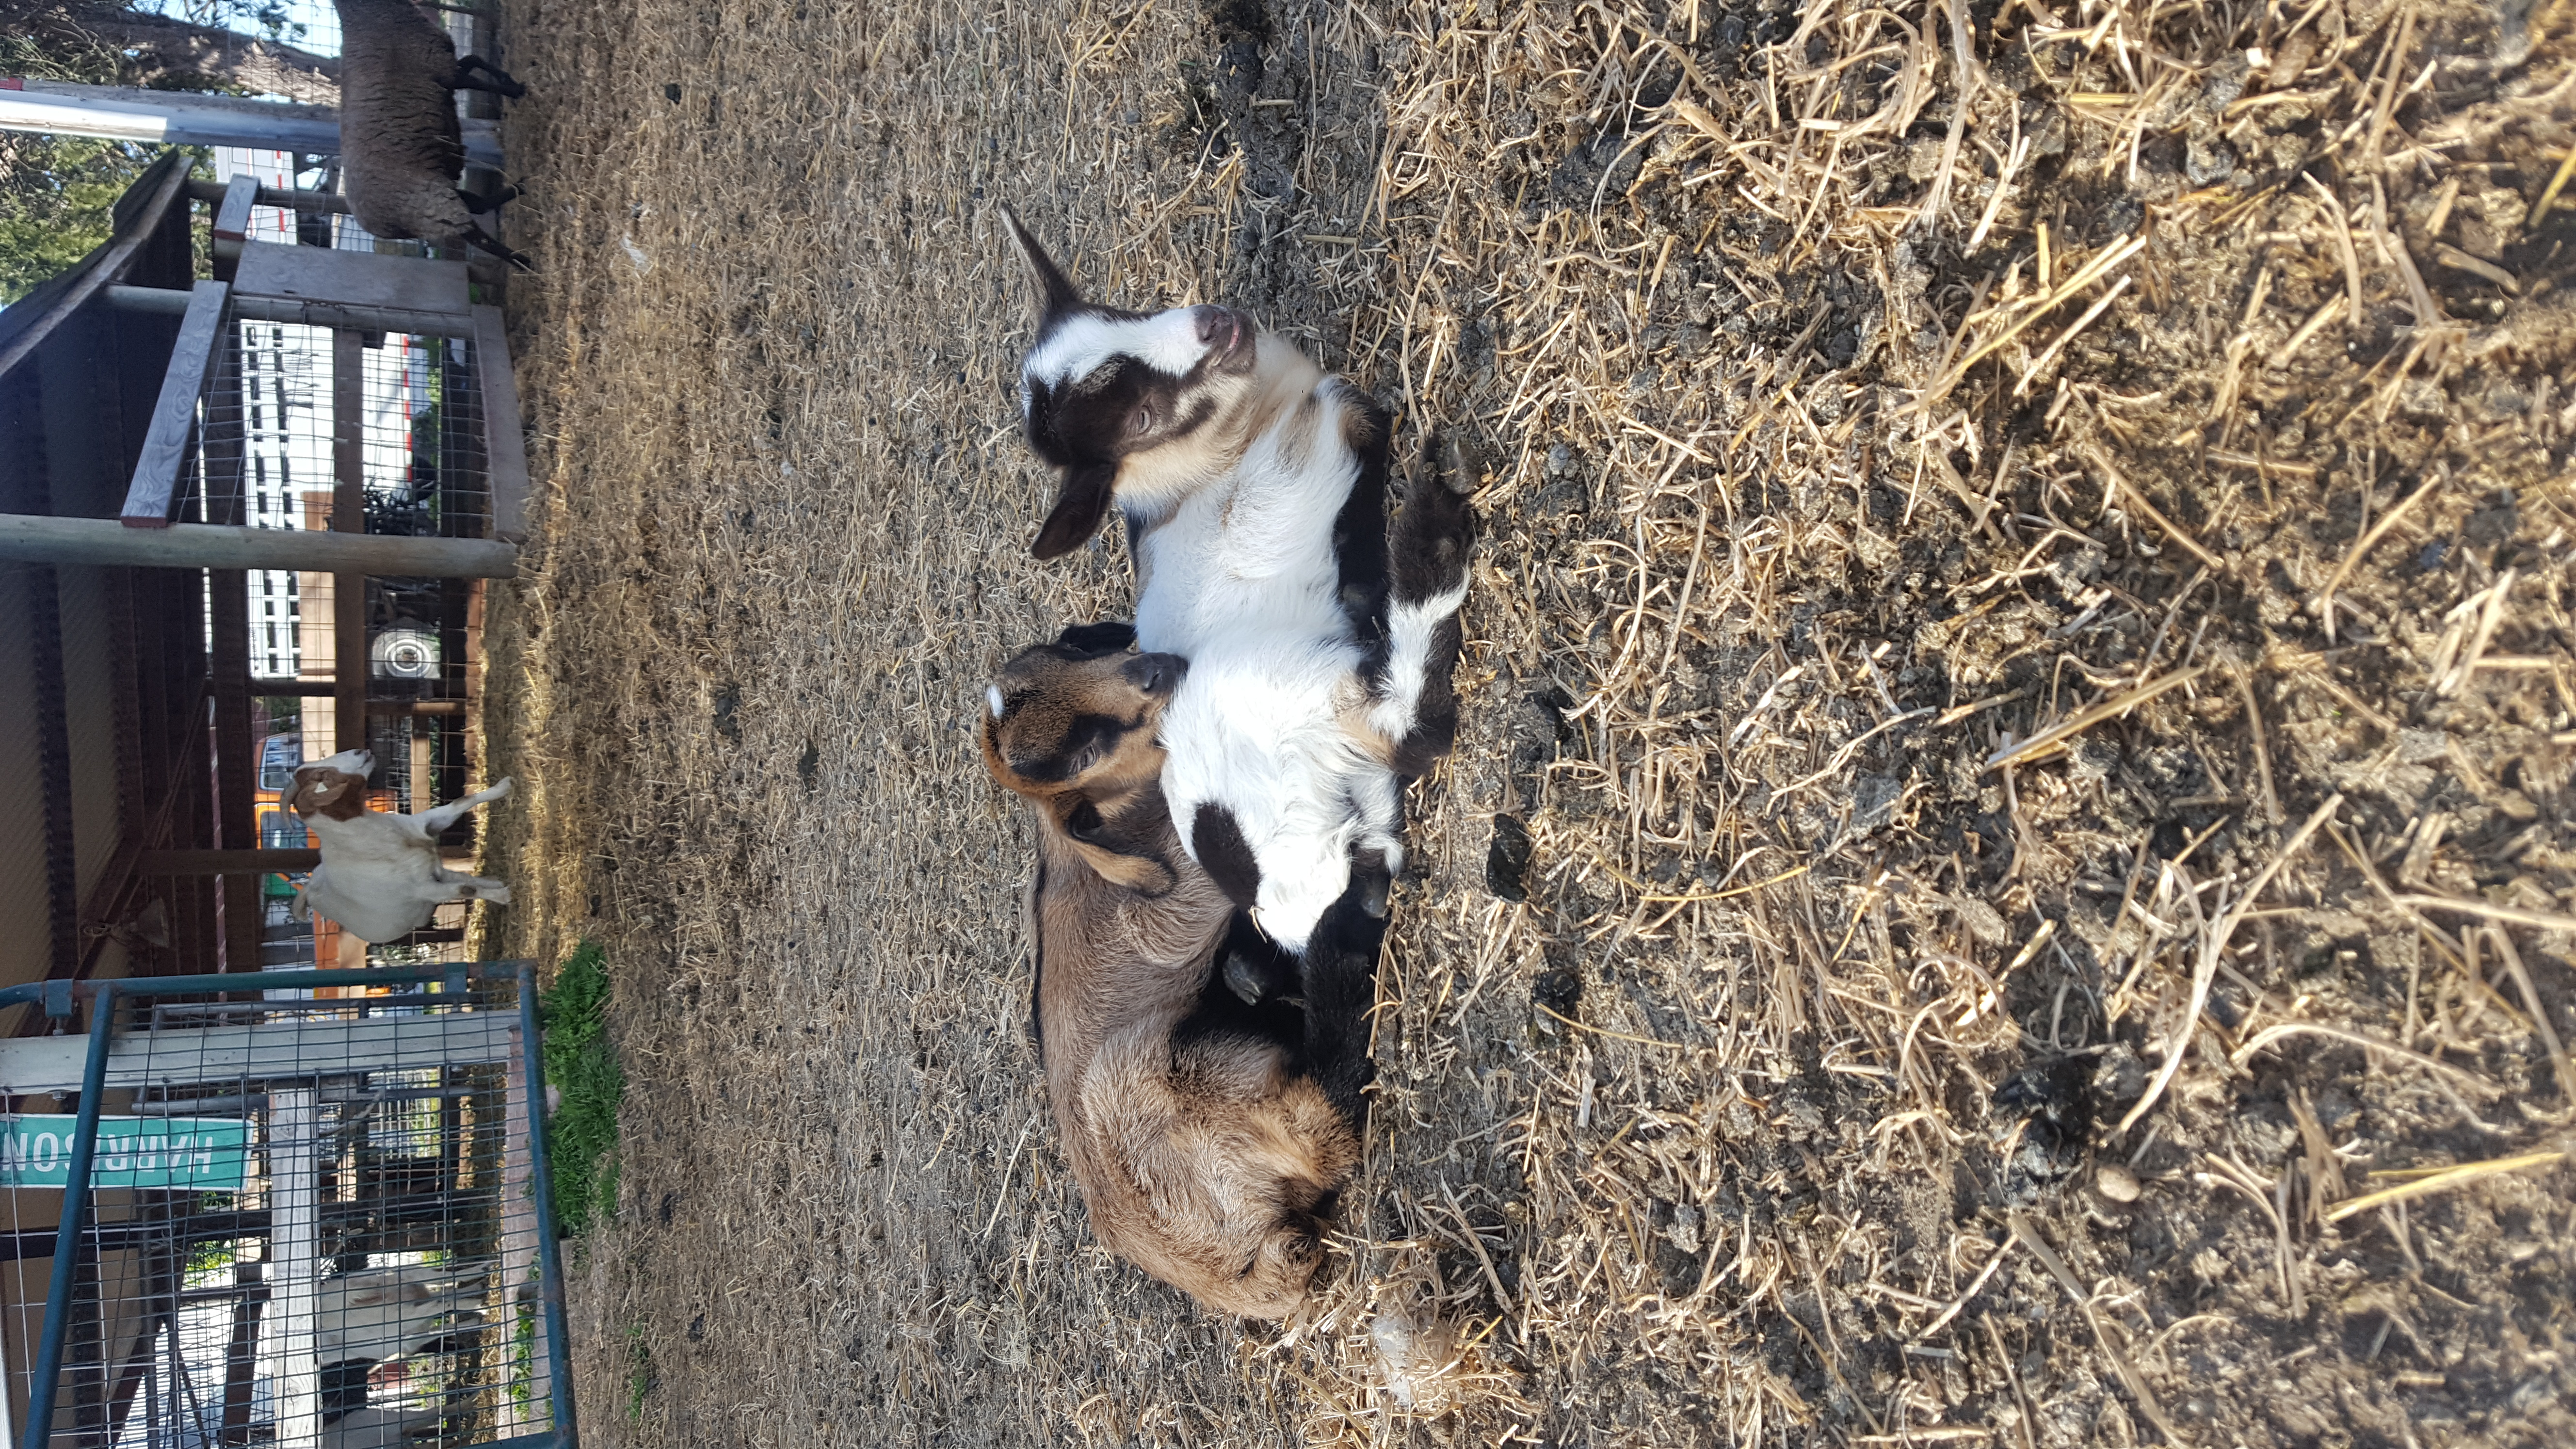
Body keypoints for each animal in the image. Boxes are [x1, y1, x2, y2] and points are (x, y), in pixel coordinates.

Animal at [287, 749, 512, 944]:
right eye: (322, 775)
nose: (359, 751)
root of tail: (308, 889)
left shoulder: (425, 830)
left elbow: (462, 802)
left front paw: (504, 786)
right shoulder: (424, 890)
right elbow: (466, 890)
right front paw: (503, 896)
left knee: (461, 876)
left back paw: (494, 881)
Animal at [332, 0, 530, 268]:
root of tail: (380, 228)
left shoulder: (445, 65)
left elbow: (473, 58)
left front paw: (507, 79)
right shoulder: (440, 69)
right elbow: (479, 81)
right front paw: (516, 90)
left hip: (439, 189)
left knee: (479, 206)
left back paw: (522, 189)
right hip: (429, 205)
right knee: (478, 237)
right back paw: (528, 262)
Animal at [981, 624, 1366, 1319]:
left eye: (1072, 655)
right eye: (1087, 751)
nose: (1154, 670)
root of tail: (1243, 1271)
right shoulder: (1177, 888)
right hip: (1156, 1079)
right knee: (1328, 1121)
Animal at [1000, 209, 1473, 972]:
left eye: (1121, 315)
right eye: (1143, 418)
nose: (1217, 324)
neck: (1225, 455)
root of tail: (1285, 900)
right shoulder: (1345, 415)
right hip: (1301, 695)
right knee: (1411, 729)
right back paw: (1436, 521)